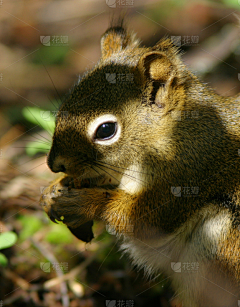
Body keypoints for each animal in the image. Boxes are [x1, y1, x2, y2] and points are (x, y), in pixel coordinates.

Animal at [39, 24, 240, 307]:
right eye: (61, 111)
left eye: (106, 130)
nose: (54, 164)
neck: (171, 133)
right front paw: (52, 190)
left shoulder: (187, 171)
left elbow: (142, 219)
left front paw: (84, 202)